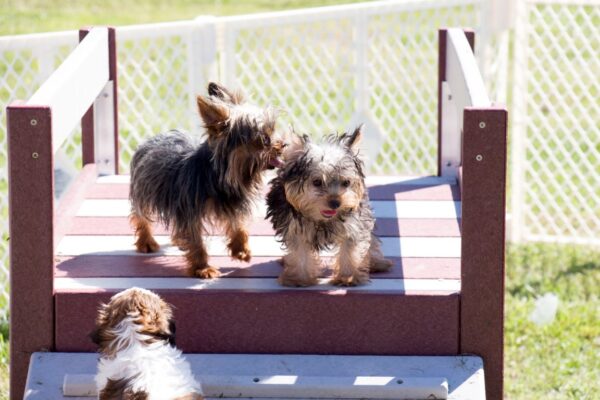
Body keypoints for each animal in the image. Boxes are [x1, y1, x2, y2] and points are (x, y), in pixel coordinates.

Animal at [130, 81, 284, 278]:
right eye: (265, 139)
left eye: (273, 131)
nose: (283, 145)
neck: (221, 177)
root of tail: (154, 137)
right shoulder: (189, 210)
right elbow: (196, 241)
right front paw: (202, 268)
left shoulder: (233, 205)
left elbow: (238, 225)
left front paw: (240, 250)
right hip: (145, 189)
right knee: (141, 215)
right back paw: (146, 241)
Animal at [268, 126, 394, 286]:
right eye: (317, 182)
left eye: (346, 182)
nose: (335, 203)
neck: (322, 218)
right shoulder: (293, 227)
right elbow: (299, 251)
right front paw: (299, 278)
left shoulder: (354, 224)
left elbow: (350, 249)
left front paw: (347, 277)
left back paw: (377, 262)